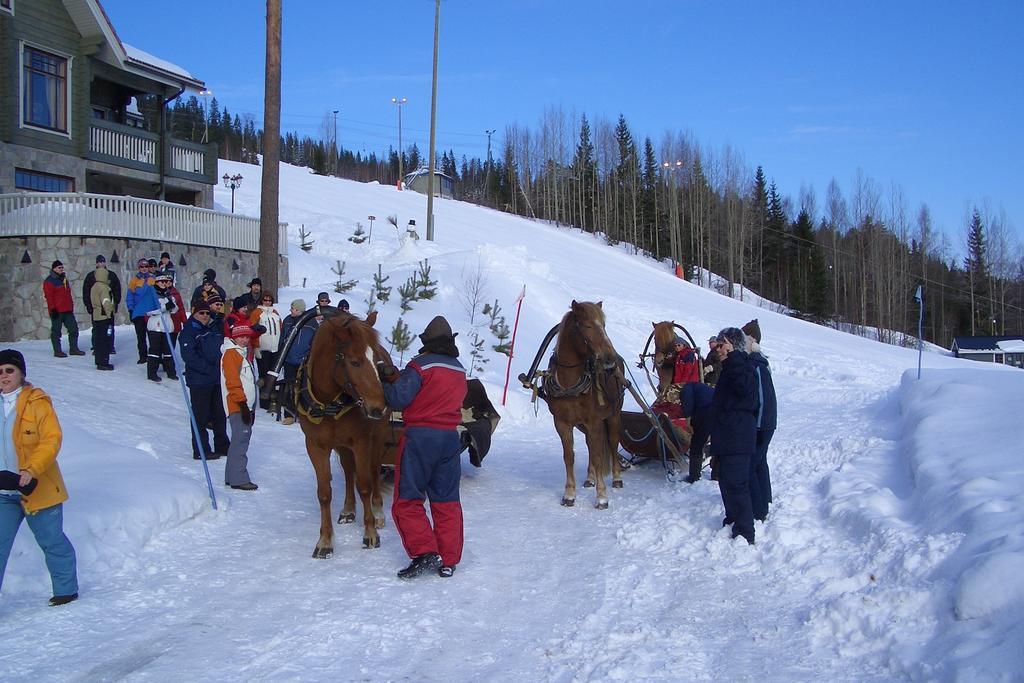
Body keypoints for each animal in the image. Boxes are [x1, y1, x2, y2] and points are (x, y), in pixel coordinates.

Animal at [296, 313, 395, 557]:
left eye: (375, 360)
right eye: (354, 362)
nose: (379, 407)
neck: (329, 402)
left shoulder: (361, 441)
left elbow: (365, 485)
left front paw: (370, 533)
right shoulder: (315, 445)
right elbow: (324, 492)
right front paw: (325, 540)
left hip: (378, 437)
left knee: (373, 470)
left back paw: (378, 512)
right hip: (342, 444)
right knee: (349, 471)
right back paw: (348, 509)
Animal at [544, 299, 622, 507]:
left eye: (603, 325)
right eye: (587, 326)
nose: (610, 358)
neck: (569, 383)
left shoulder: (595, 422)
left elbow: (598, 456)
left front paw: (601, 496)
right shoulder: (562, 423)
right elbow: (569, 456)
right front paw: (569, 494)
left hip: (614, 415)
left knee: (612, 443)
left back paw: (617, 478)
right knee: (589, 444)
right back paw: (590, 478)